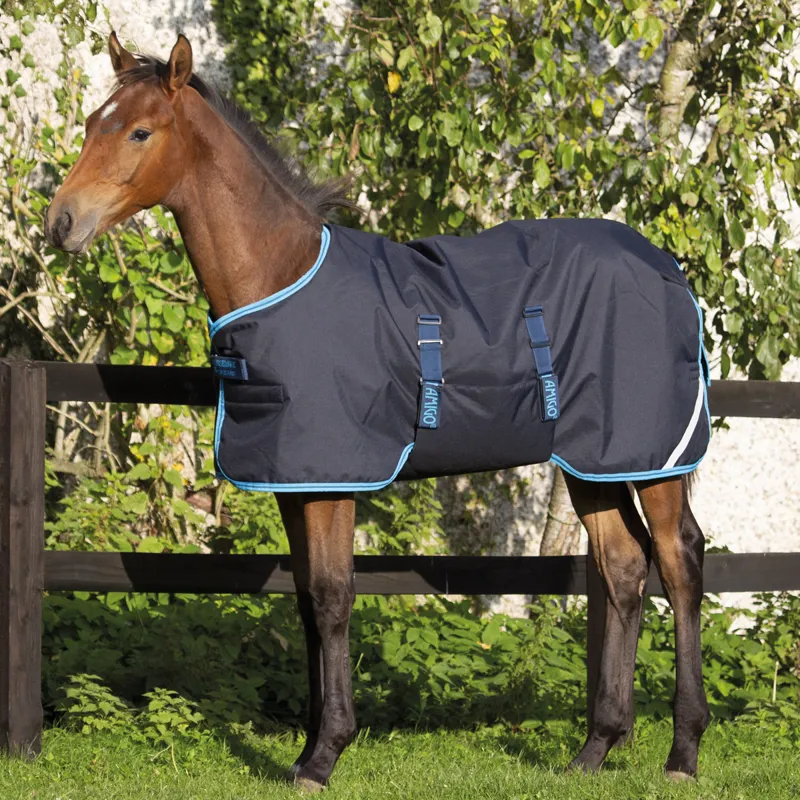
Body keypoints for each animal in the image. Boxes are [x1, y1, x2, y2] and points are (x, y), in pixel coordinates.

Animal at [45, 33, 710, 791]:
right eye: (91, 122)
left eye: (139, 132)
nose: (61, 222)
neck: (281, 276)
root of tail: (668, 268)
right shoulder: (295, 483)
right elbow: (306, 602)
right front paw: (307, 748)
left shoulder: (335, 481)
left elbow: (334, 597)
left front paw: (326, 754)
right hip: (593, 462)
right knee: (624, 568)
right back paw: (595, 748)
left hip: (653, 457)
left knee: (680, 562)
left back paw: (683, 752)